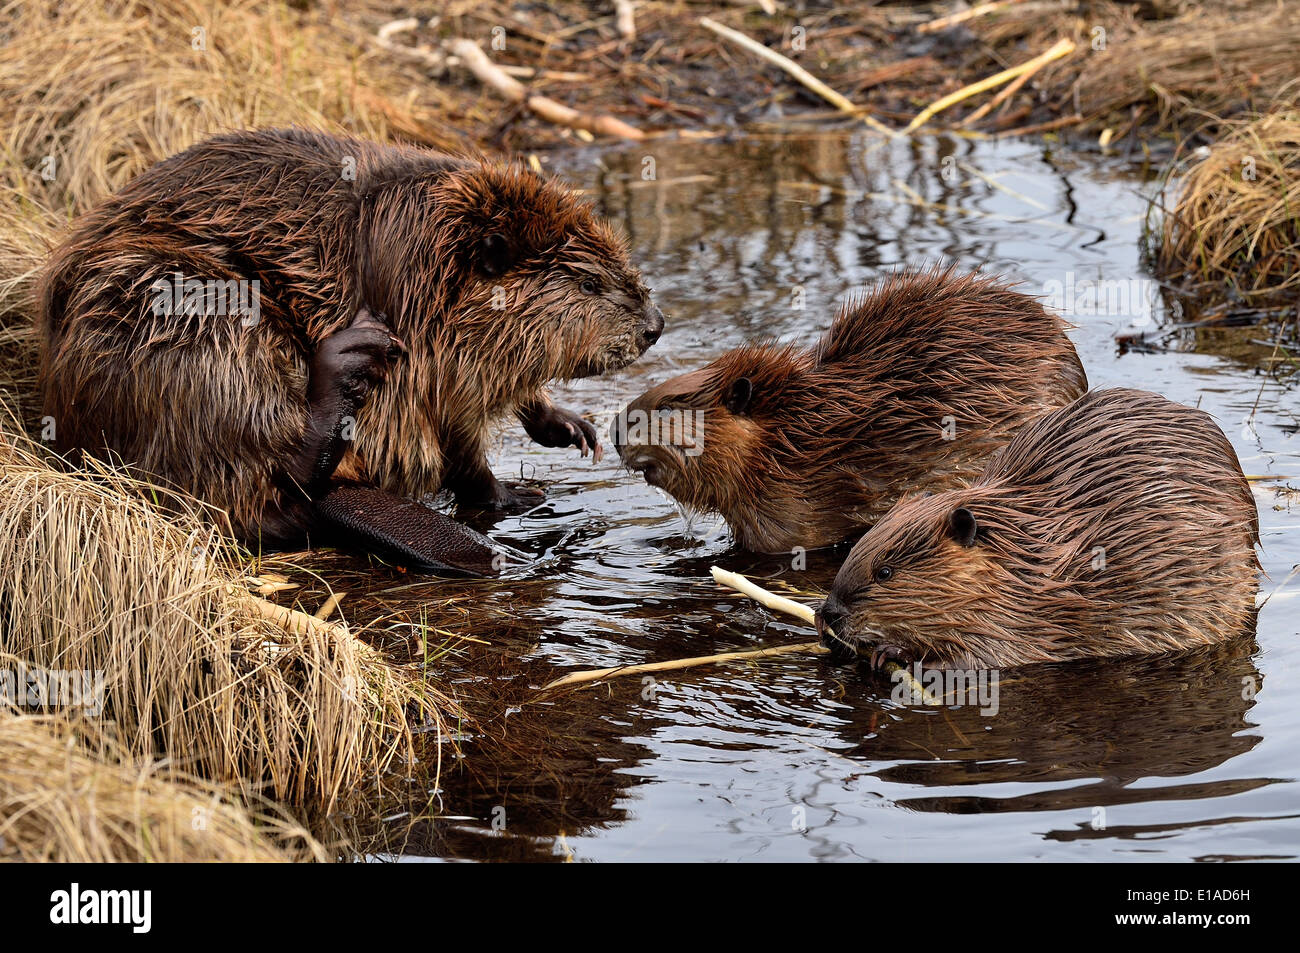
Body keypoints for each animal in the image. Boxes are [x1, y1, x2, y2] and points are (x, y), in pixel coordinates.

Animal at [35, 126, 665, 572]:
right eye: (590, 284)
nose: (655, 325)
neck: (425, 250)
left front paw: (568, 426)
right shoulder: (427, 354)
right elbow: (456, 443)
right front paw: (511, 491)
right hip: (187, 311)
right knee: (260, 489)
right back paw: (342, 372)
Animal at [816, 387, 1263, 670]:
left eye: (885, 572)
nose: (832, 611)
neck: (1020, 558)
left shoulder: (1020, 618)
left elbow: (982, 658)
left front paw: (891, 652)